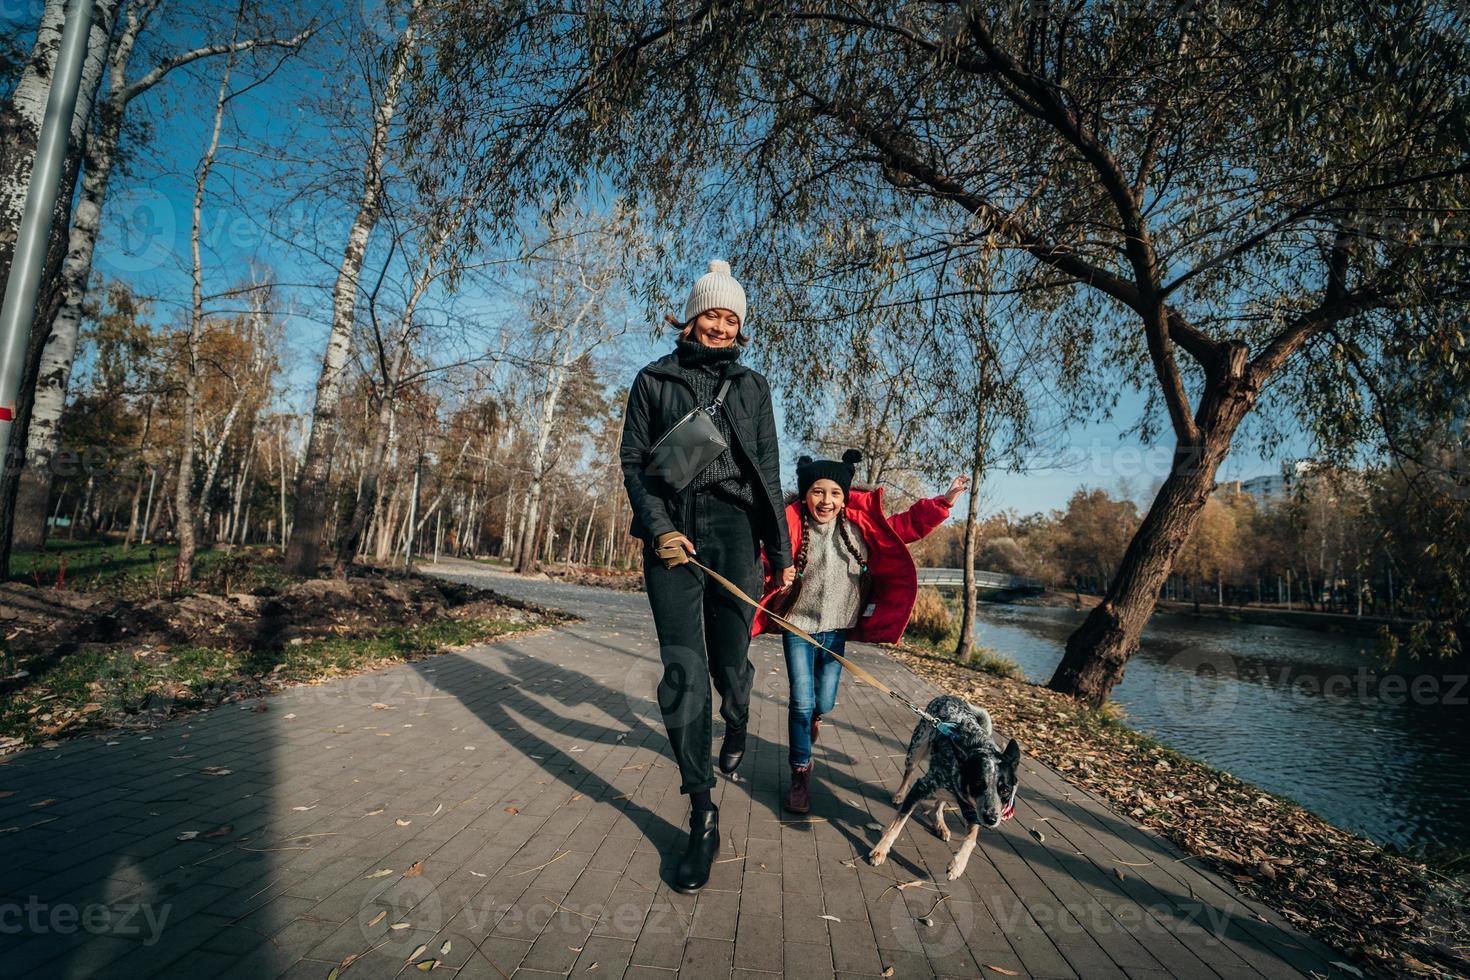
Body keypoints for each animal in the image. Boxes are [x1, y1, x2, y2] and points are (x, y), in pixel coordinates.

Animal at [864, 696, 1017, 881]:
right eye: (978, 785)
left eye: (1005, 790)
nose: (991, 819)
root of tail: (948, 696)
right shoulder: (920, 788)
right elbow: (896, 826)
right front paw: (880, 851)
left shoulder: (973, 811)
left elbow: (971, 839)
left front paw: (958, 865)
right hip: (915, 752)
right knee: (908, 773)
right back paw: (899, 794)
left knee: (940, 804)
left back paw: (941, 825)